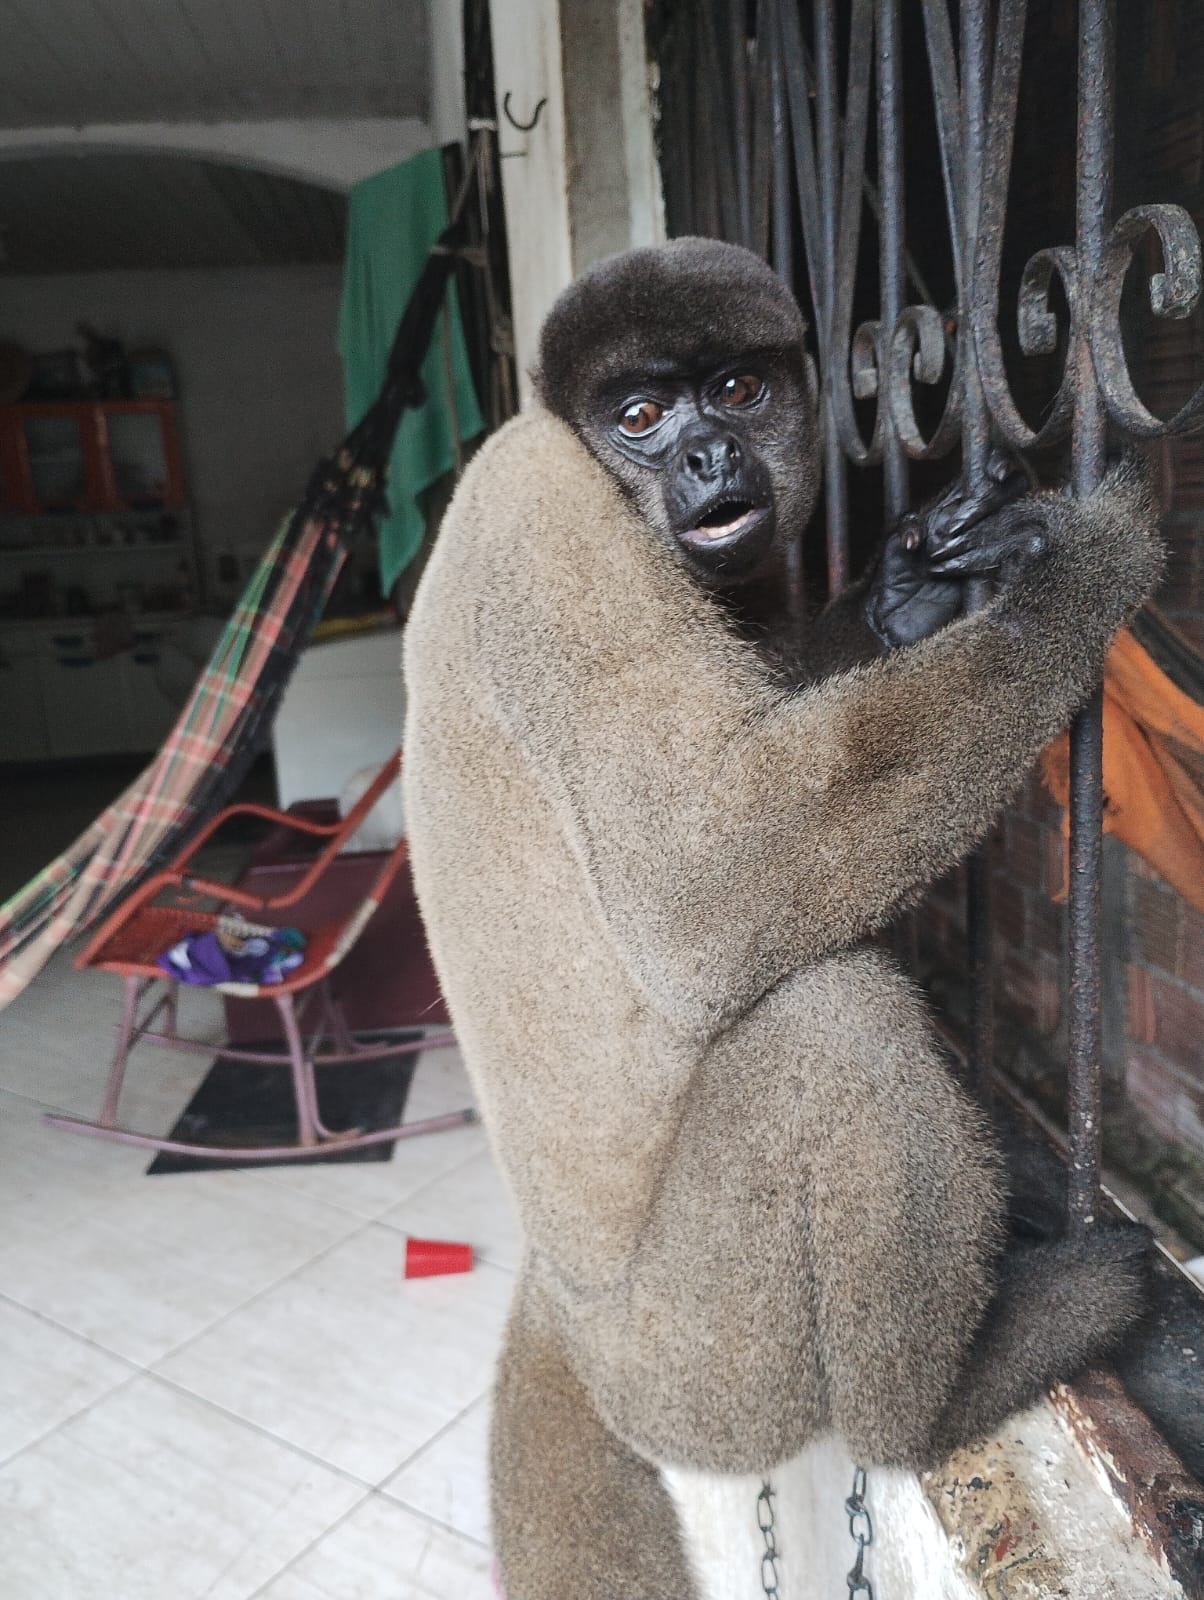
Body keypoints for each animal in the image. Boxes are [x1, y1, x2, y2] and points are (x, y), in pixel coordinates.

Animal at [401, 238, 1160, 1600]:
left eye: (740, 391)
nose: (708, 458)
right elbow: (711, 885)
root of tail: (573, 1324)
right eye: (640, 417)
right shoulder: (554, 530)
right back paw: (942, 1395)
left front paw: (905, 593)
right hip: (712, 1356)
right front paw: (1082, 575)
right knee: (832, 1017)